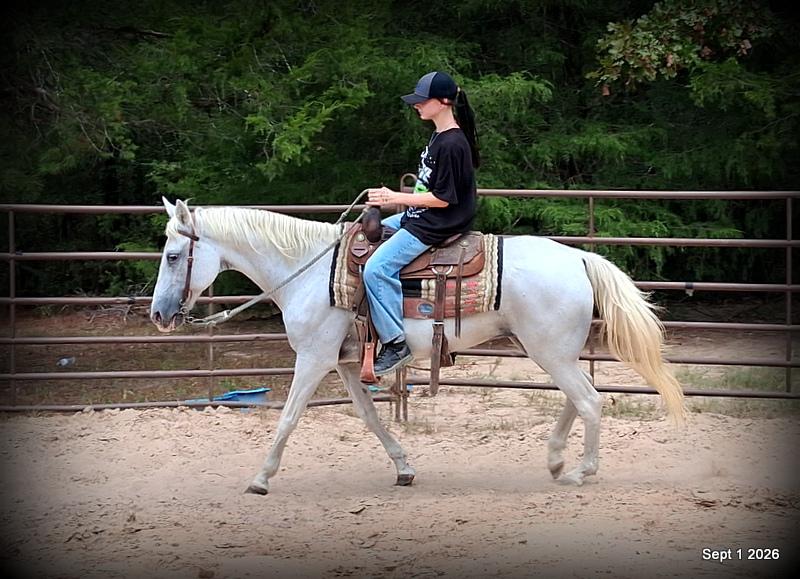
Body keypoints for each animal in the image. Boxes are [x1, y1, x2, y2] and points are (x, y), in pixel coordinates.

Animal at [150, 198, 685, 495]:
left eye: (174, 255)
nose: (158, 315)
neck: (307, 271)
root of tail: (579, 257)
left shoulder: (314, 359)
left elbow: (288, 417)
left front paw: (261, 478)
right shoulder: (345, 364)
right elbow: (368, 416)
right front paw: (404, 467)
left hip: (550, 351)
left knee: (590, 401)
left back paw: (579, 472)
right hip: (554, 351)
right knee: (579, 399)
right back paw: (556, 460)